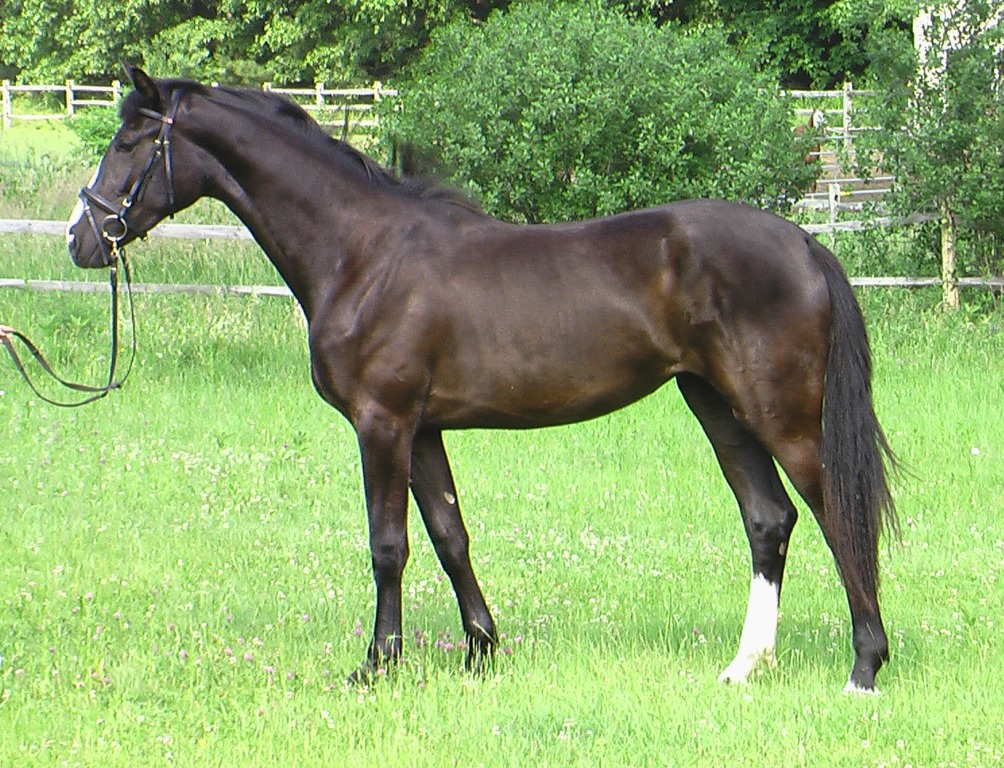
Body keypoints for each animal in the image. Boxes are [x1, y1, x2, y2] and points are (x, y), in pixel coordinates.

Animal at [66, 66, 898, 693]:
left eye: (132, 141)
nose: (82, 238)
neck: (362, 253)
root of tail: (804, 244)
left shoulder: (383, 423)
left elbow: (389, 545)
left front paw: (377, 665)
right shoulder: (423, 429)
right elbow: (449, 536)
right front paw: (480, 651)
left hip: (782, 415)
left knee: (837, 516)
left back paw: (863, 669)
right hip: (717, 405)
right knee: (769, 520)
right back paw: (743, 667)